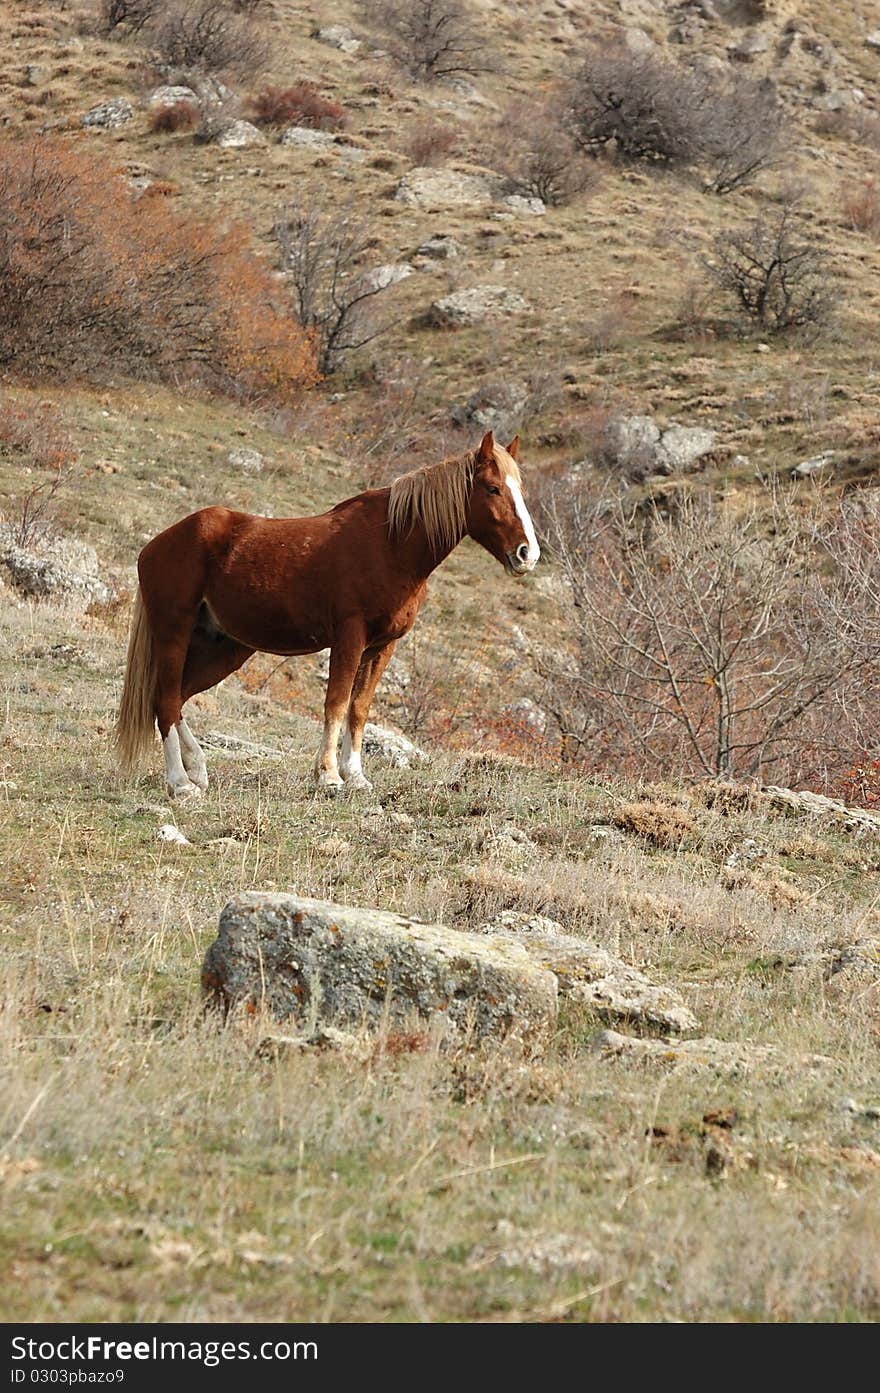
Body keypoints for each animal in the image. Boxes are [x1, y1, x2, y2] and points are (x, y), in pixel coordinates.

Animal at [113, 423, 540, 802]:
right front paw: (329, 776)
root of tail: (156, 545)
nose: (527, 554)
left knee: (175, 699)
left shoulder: (381, 648)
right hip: (175, 633)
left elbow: (359, 709)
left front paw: (356, 778)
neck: (391, 544)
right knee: (166, 701)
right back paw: (181, 785)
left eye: (521, 490)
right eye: (493, 488)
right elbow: (336, 702)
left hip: (225, 648)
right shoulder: (349, 637)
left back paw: (198, 772)